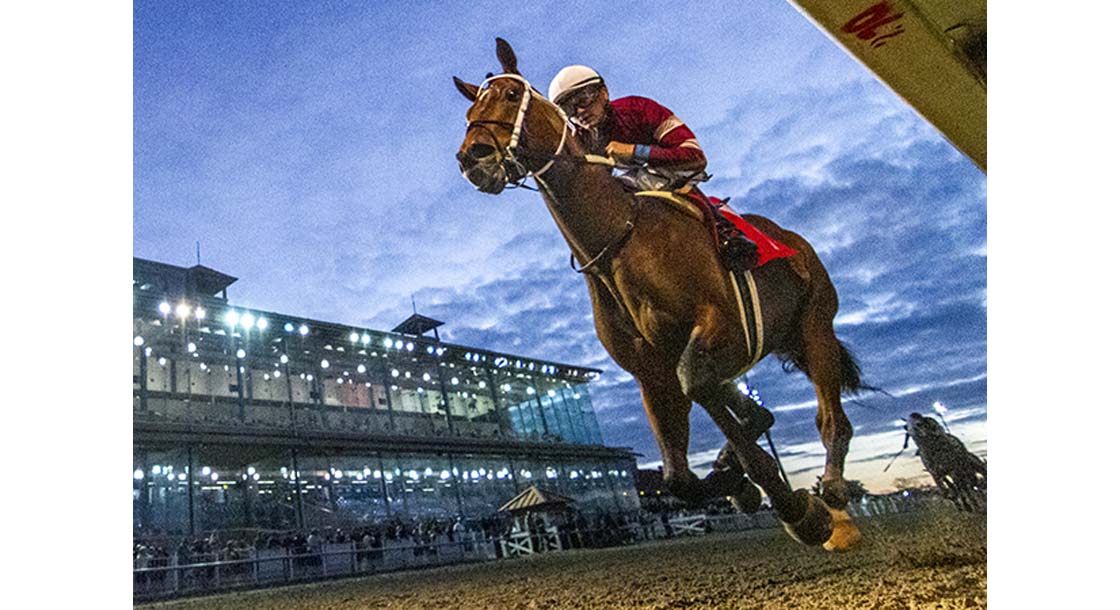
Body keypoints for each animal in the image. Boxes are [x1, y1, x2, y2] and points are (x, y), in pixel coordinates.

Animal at [454, 39, 864, 550]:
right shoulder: (650, 371)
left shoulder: (721, 329)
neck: (619, 239)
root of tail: (791, 239)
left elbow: (700, 387)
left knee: (831, 420)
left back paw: (832, 494)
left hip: (814, 325)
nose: (473, 158)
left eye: (511, 95)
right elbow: (677, 478)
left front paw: (795, 507)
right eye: (470, 109)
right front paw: (738, 480)